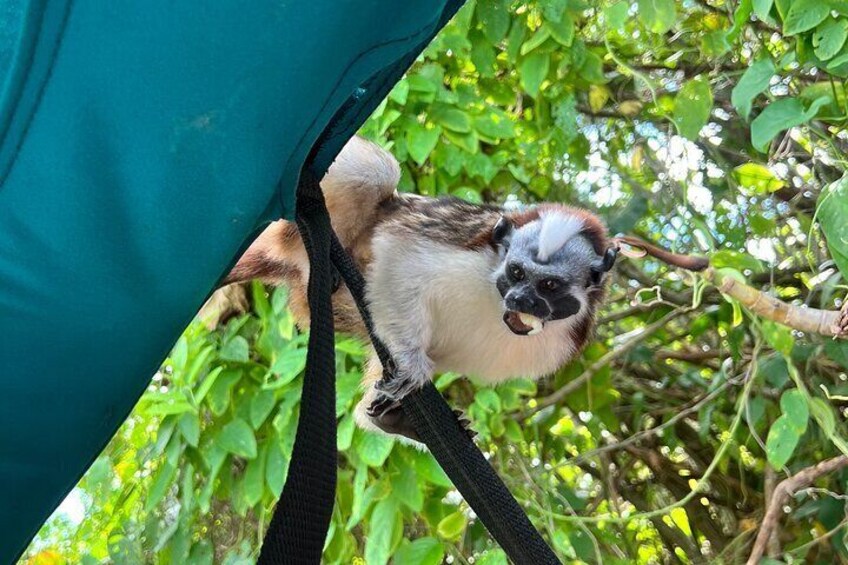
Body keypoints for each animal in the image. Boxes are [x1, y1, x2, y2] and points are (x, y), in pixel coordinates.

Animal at [223, 135, 705, 442]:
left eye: (548, 286)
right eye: (516, 274)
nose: (520, 300)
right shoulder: (465, 253)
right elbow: (399, 255)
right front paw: (413, 366)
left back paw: (395, 420)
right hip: (295, 230)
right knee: (377, 174)